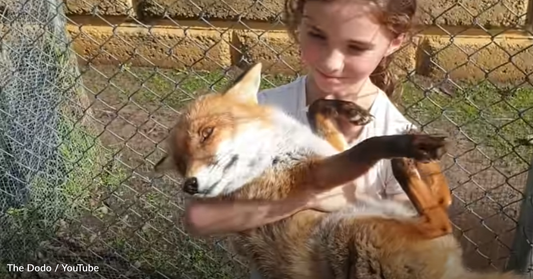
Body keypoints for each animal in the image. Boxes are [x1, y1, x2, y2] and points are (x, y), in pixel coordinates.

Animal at [156, 63, 520, 279]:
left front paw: (348, 109)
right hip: (346, 229)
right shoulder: (315, 176)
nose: (190, 185)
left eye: (207, 133)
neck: (276, 150)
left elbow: (316, 108)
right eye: (180, 164)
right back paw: (406, 163)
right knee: (438, 219)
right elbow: (368, 146)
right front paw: (404, 145)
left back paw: (421, 168)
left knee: (443, 202)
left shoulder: (329, 147)